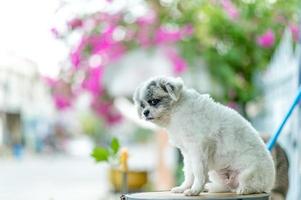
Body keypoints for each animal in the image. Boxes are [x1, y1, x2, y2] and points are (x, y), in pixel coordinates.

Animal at [133, 76, 274, 195]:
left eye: (154, 101)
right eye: (142, 105)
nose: (145, 112)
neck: (176, 111)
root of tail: (269, 183)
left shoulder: (198, 148)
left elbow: (197, 171)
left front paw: (195, 190)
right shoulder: (187, 152)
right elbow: (189, 172)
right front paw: (184, 187)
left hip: (248, 173)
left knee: (253, 186)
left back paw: (244, 189)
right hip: (216, 174)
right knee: (227, 187)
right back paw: (212, 187)